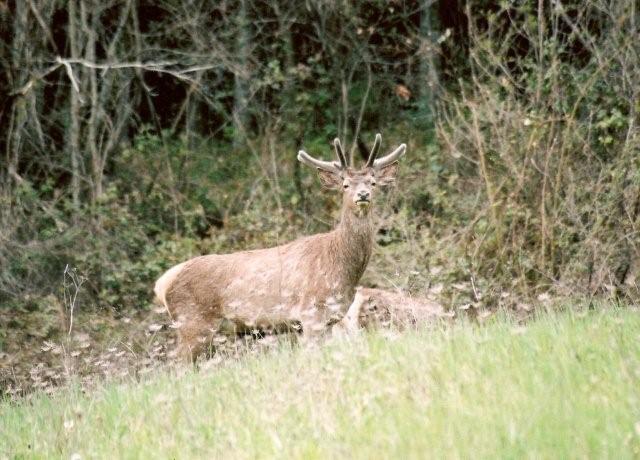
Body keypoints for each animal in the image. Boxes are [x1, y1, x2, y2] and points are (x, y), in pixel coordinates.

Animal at [152, 131, 408, 362]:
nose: (363, 194)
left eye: (373, 182)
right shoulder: (311, 313)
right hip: (193, 322)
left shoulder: (331, 319)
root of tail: (162, 283)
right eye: (345, 185)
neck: (341, 266)